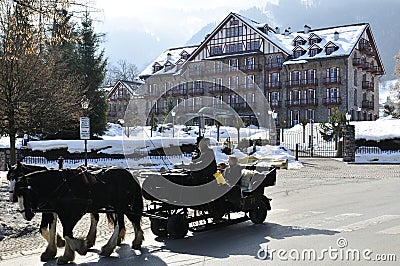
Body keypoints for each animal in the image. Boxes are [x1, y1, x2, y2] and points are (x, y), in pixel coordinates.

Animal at [14, 166, 145, 264]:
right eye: (17, 195)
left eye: (25, 194)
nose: (26, 215)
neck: (62, 186)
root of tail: (130, 175)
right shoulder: (60, 212)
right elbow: (62, 231)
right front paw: (62, 254)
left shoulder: (75, 212)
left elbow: (67, 233)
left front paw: (80, 248)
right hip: (117, 207)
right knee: (128, 221)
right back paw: (132, 241)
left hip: (121, 206)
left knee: (122, 223)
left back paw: (110, 247)